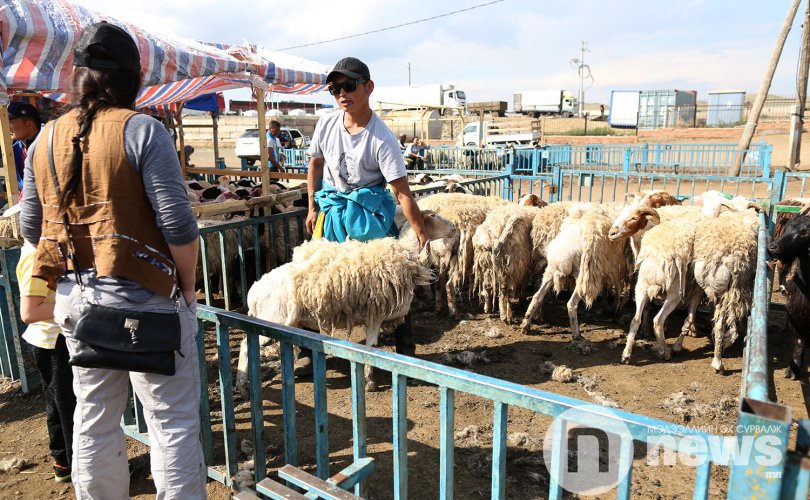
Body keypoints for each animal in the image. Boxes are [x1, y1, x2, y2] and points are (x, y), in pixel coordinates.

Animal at [237, 209, 458, 392]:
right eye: (433, 216)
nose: (454, 228)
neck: (406, 254)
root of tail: (253, 292)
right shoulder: (375, 315)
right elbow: (371, 348)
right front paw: (370, 381)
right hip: (272, 320)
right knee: (245, 344)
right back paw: (242, 384)